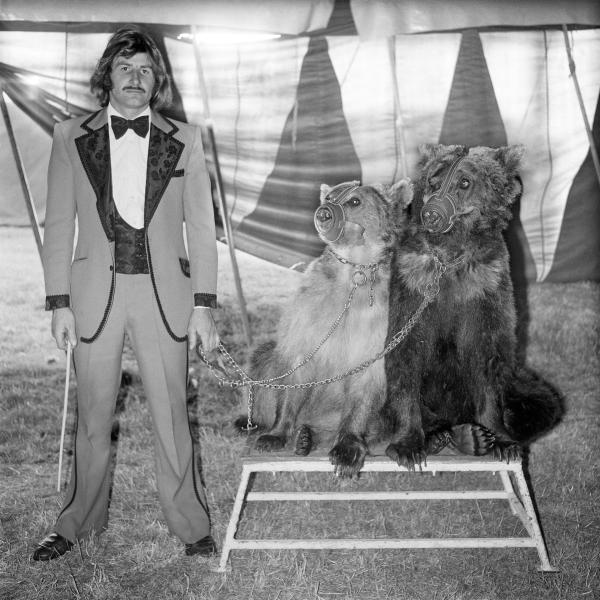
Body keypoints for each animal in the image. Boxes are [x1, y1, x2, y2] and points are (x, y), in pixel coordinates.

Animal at [239, 178, 412, 478]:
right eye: (330, 196)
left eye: (354, 201)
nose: (323, 213)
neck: (355, 272)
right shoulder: (311, 310)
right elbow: (297, 367)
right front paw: (276, 433)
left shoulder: (380, 321)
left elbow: (367, 379)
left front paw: (347, 450)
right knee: (264, 359)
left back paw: (312, 437)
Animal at [382, 144, 564, 468]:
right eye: (433, 180)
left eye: (464, 182)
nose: (431, 213)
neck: (449, 256)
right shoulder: (413, 283)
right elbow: (406, 354)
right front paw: (407, 446)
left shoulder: (486, 287)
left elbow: (488, 356)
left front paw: (502, 441)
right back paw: (444, 435)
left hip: (517, 384)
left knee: (544, 402)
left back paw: (474, 436)